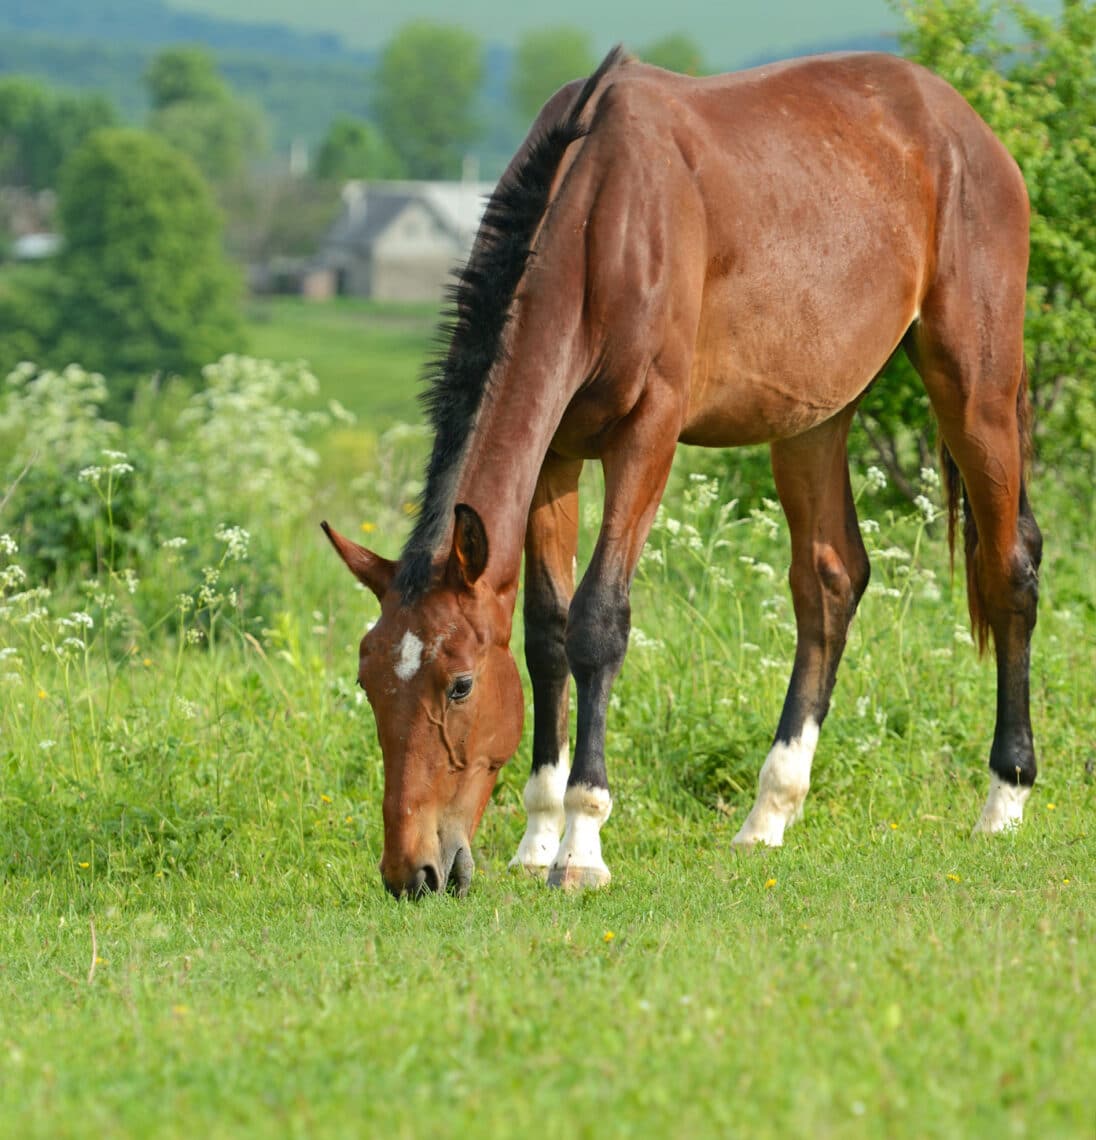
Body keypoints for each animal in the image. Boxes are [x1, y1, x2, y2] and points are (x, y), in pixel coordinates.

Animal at [321, 46, 1040, 898]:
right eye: (369, 679)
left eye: (459, 684)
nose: (415, 871)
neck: (600, 219)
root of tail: (966, 126)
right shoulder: (556, 456)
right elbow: (546, 633)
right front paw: (536, 836)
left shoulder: (647, 438)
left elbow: (598, 623)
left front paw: (581, 842)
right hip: (813, 419)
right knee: (829, 581)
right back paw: (769, 812)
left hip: (974, 387)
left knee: (1009, 568)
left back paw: (1004, 797)